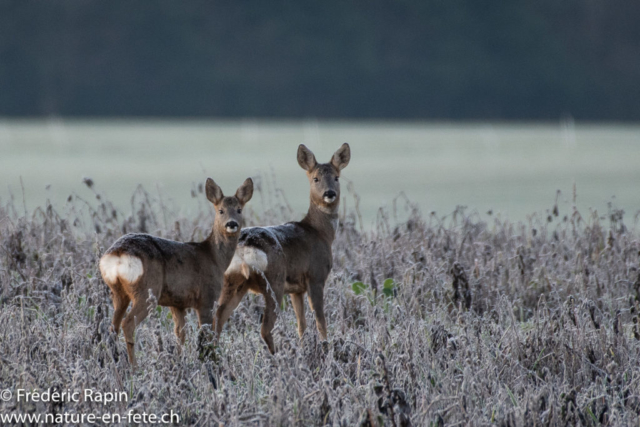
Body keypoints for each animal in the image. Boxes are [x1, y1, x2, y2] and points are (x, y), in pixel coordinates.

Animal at [97, 177, 252, 368]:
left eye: (239, 209)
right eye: (220, 210)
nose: (232, 224)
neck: (213, 257)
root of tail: (117, 255)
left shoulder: (177, 302)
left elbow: (180, 333)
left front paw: (178, 361)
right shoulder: (207, 298)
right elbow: (206, 335)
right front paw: (208, 361)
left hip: (118, 293)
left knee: (112, 327)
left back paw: (115, 363)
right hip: (147, 291)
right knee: (128, 324)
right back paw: (134, 367)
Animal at [218, 144, 352, 354]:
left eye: (336, 177)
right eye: (315, 178)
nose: (329, 193)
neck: (319, 232)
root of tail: (243, 247)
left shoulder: (296, 289)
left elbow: (301, 324)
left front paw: (305, 349)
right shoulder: (316, 276)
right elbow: (320, 320)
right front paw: (325, 347)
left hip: (234, 282)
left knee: (216, 320)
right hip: (274, 282)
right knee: (265, 329)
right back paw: (277, 357)